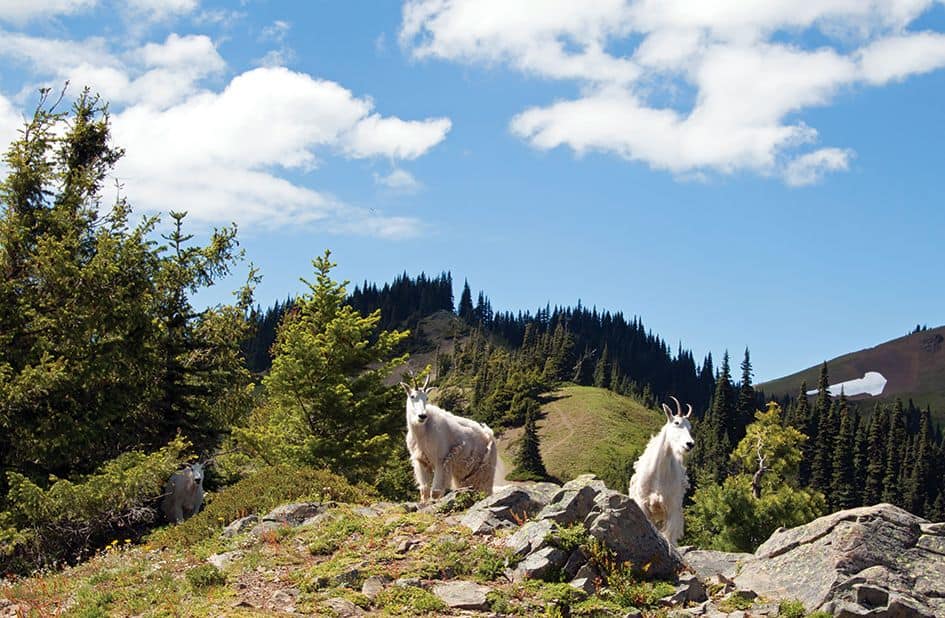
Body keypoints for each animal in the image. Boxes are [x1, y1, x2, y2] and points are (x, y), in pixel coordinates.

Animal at [628, 396, 695, 545]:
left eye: (690, 427)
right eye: (676, 422)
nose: (690, 444)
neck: (659, 473)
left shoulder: (671, 508)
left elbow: (669, 538)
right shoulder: (643, 504)